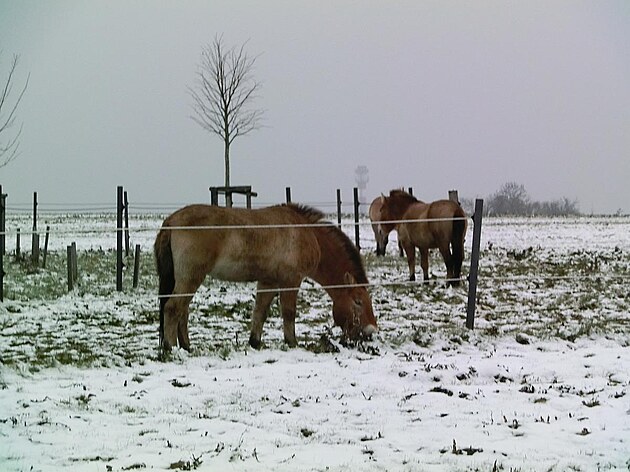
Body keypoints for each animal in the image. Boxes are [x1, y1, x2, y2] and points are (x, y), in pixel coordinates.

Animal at [155, 203, 378, 350]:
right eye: (358, 301)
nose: (370, 332)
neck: (306, 232)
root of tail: (172, 221)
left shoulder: (268, 281)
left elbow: (260, 311)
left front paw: (255, 342)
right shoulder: (291, 280)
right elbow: (288, 312)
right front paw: (292, 342)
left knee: (182, 310)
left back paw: (186, 346)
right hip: (191, 277)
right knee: (173, 308)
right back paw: (170, 347)